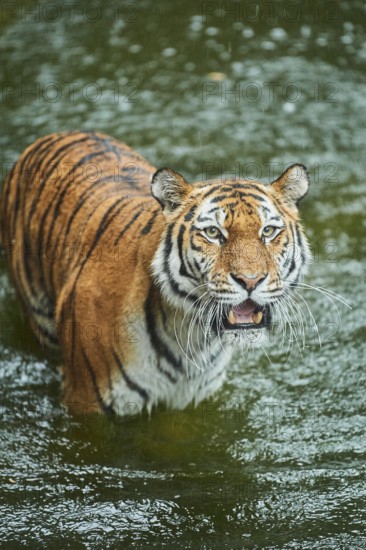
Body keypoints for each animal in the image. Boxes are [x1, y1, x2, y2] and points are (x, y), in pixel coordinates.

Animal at [0, 132, 310, 418]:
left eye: (268, 231)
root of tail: (55, 135)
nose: (250, 280)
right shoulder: (86, 403)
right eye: (213, 232)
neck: (191, 333)